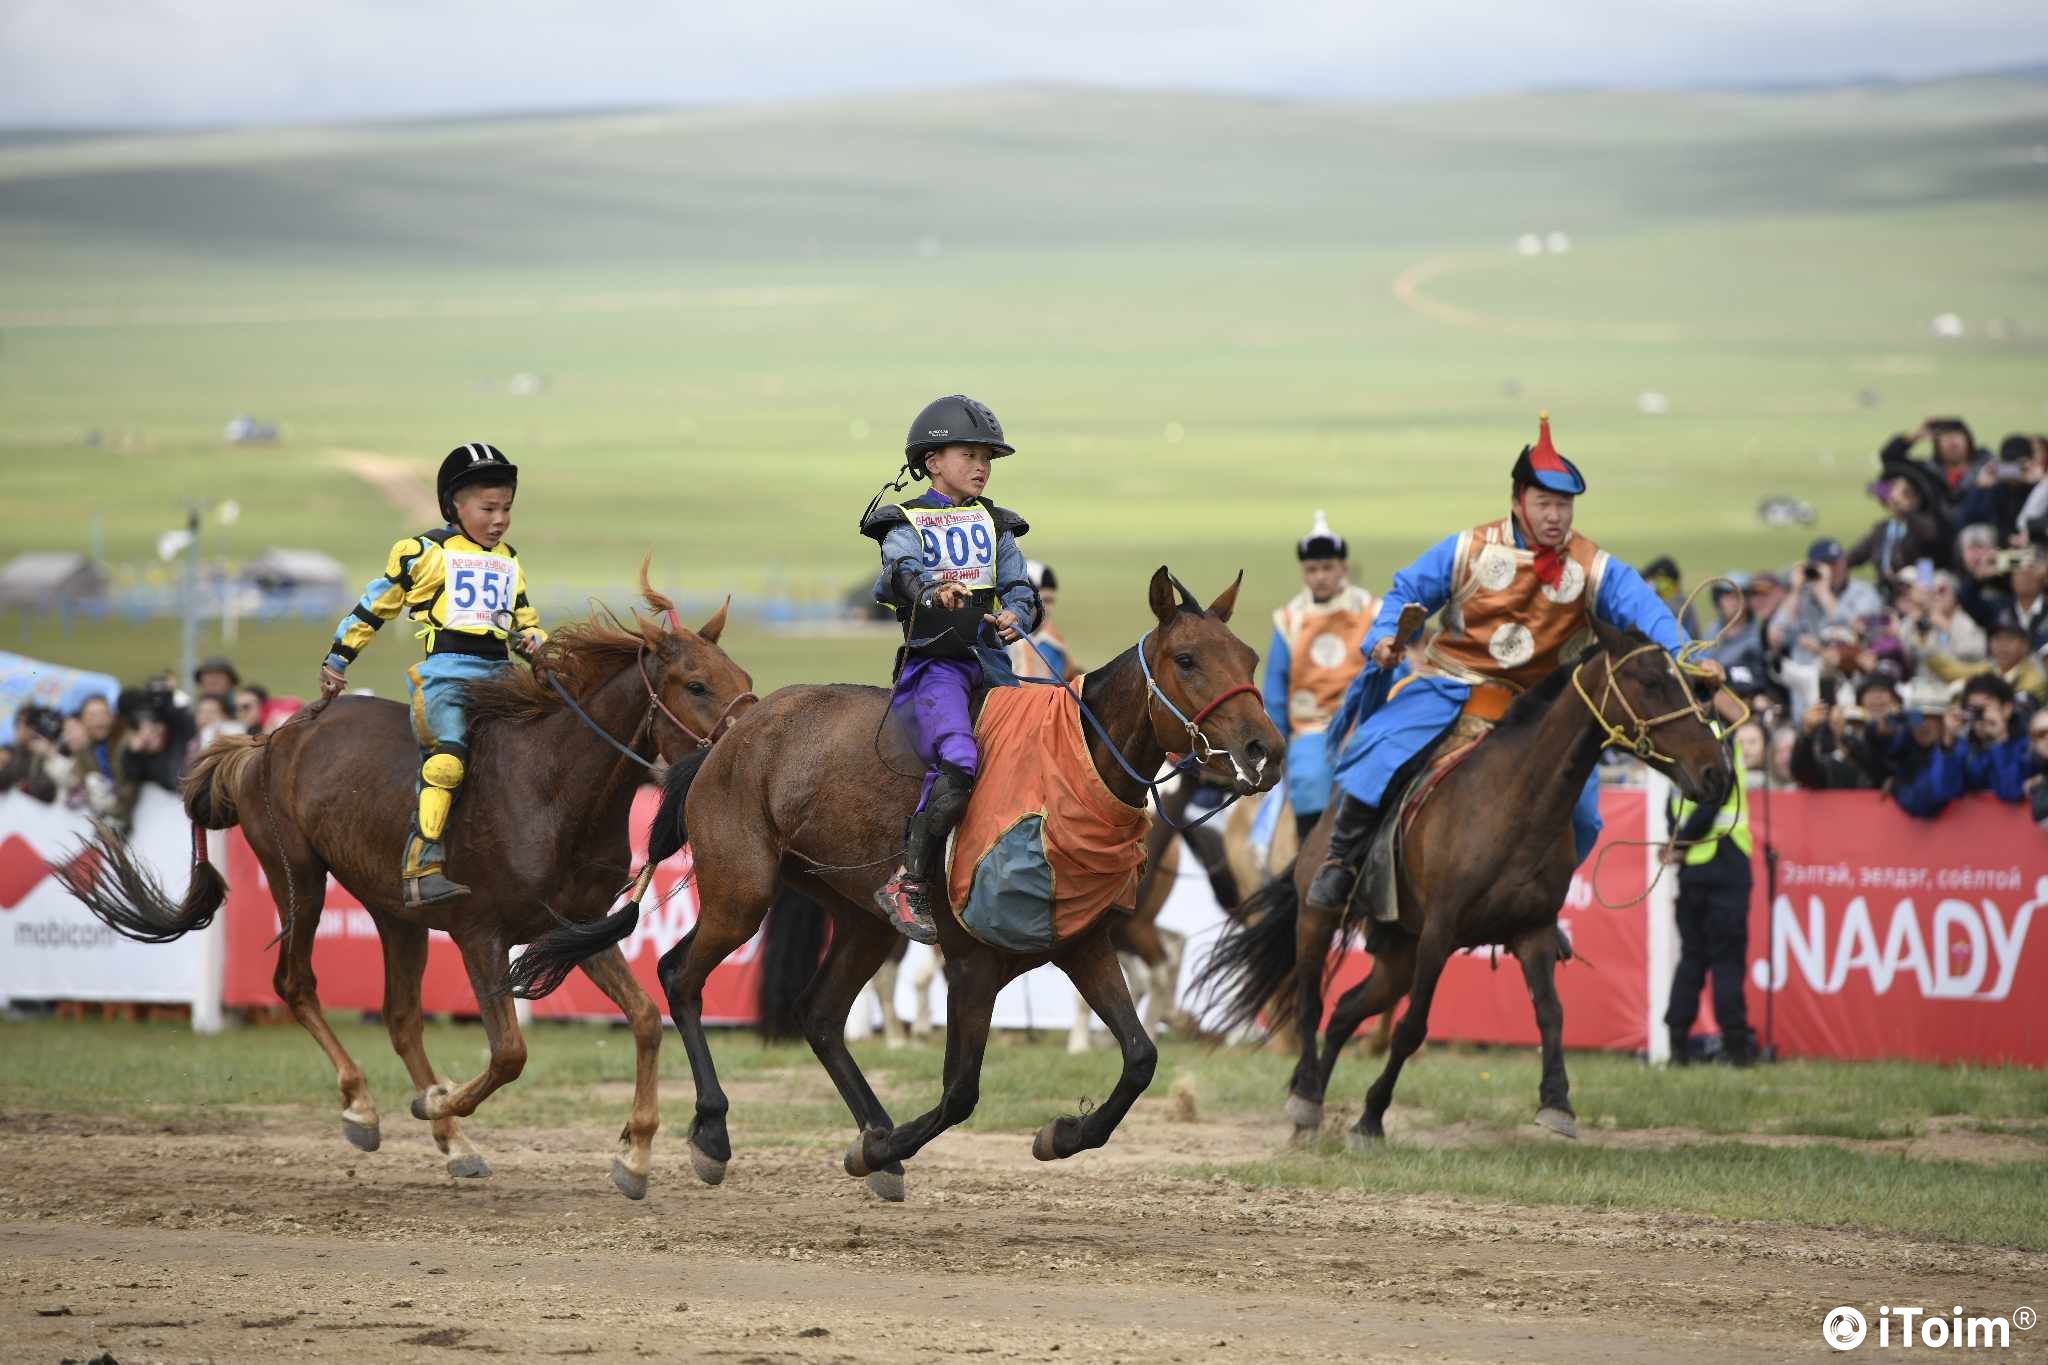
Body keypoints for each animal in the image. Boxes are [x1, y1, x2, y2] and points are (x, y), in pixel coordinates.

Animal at [61, 573, 753, 1203]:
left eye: (741, 677)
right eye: (695, 684)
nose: (741, 749)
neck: (550, 786)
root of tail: (271, 738)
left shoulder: (575, 927)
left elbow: (644, 1020)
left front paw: (634, 1154)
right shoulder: (481, 934)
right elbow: (509, 1052)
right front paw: (439, 1100)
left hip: (397, 916)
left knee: (399, 1018)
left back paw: (453, 1143)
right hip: (298, 879)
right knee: (296, 984)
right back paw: (363, 1107)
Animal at [512, 564, 1277, 1195]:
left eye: (1249, 658)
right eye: (1187, 659)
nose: (1263, 748)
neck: (1065, 769)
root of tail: (729, 739)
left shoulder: (1083, 944)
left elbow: (1141, 1057)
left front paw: (1063, 1134)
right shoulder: (972, 966)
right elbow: (961, 1091)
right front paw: (876, 1149)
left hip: (861, 917)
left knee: (819, 1013)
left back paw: (871, 1128)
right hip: (742, 892)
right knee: (678, 974)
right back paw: (715, 1130)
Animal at [1196, 626, 1728, 1146]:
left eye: (1690, 684)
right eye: (1650, 683)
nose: (1716, 772)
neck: (1516, 802)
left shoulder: (1532, 933)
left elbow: (1551, 1014)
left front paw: (1556, 1101)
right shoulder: (1440, 934)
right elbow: (1411, 1028)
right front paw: (1370, 1119)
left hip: (1399, 953)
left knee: (1346, 1011)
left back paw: (1311, 1101)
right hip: (1319, 919)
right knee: (1311, 1003)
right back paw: (1306, 1096)